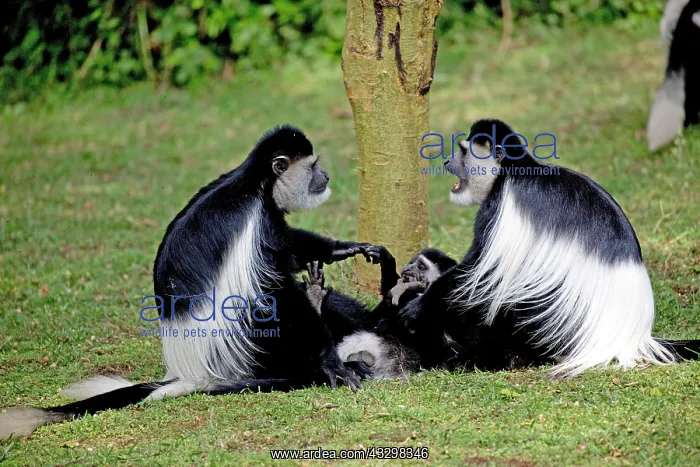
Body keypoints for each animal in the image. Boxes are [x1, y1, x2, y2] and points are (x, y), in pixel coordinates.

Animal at [0, 125, 391, 440]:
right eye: (312, 166)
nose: (325, 175)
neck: (257, 184)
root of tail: (192, 373)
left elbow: (293, 248)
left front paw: (343, 248)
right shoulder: (258, 224)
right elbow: (275, 283)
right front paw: (331, 364)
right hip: (247, 351)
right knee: (273, 307)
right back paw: (314, 316)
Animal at [398, 119, 700, 377]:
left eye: (463, 152)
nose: (447, 161)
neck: (510, 171)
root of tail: (630, 338)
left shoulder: (500, 206)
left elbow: (477, 271)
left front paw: (417, 306)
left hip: (550, 321)